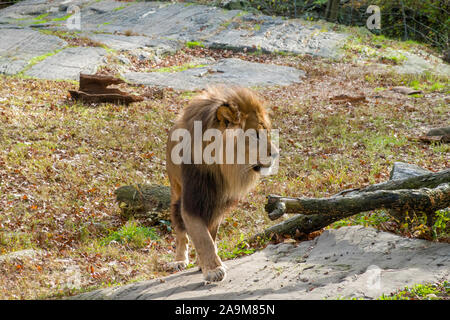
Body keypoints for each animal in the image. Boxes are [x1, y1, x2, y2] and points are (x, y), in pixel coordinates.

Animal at [165, 85, 278, 282]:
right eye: (256, 135)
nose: (277, 153)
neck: (221, 170)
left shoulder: (218, 202)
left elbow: (211, 234)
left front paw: (205, 264)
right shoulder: (192, 201)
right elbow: (202, 237)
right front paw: (214, 270)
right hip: (175, 190)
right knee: (180, 231)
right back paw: (179, 260)